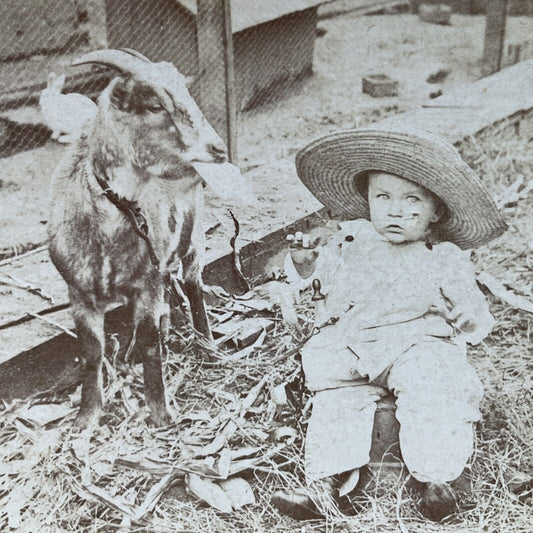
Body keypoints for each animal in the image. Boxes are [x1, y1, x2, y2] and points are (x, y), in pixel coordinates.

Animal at [47, 47, 227, 426]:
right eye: (155, 105)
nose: (218, 148)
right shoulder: (79, 294)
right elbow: (92, 351)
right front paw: (87, 416)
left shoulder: (147, 282)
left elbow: (149, 341)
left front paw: (160, 412)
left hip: (193, 240)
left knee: (193, 284)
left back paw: (207, 344)